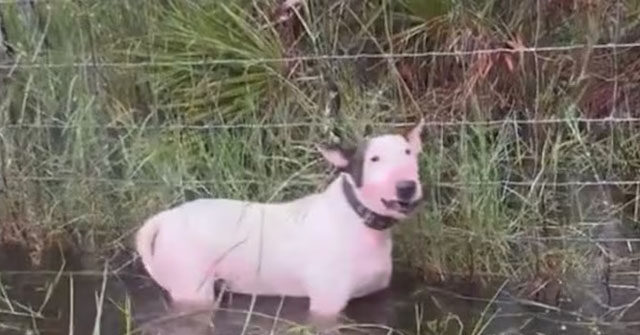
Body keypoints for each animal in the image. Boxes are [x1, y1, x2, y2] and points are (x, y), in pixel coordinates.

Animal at [135, 118, 424, 320]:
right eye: (374, 159)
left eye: (408, 153)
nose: (407, 187)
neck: (358, 217)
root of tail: (164, 218)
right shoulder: (326, 305)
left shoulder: (375, 296)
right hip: (193, 290)